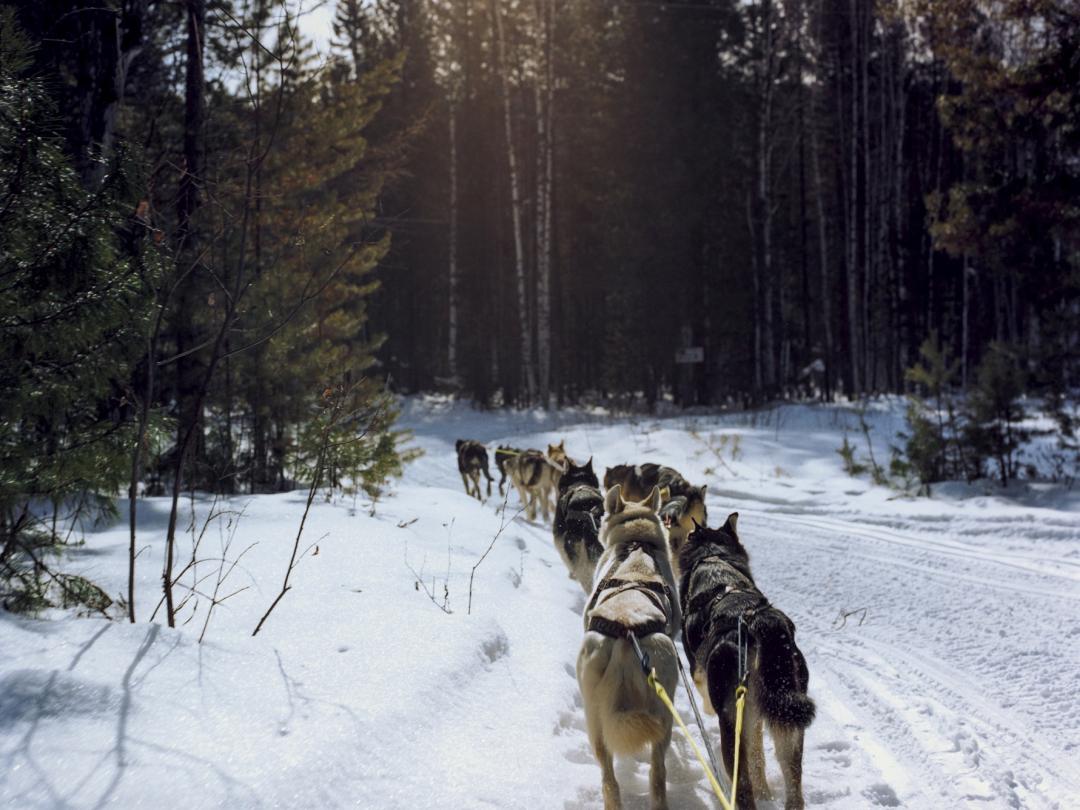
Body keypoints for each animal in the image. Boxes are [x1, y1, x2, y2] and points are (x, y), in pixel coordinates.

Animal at [578, 488, 678, 810]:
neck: (637, 548)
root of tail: (626, 632)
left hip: (597, 718)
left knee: (614, 776)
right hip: (660, 714)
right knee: (654, 775)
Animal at [678, 516, 812, 807]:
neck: (714, 559)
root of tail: (759, 621)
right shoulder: (755, 714)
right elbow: (758, 753)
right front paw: (765, 790)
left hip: (731, 728)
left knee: (742, 787)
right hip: (789, 726)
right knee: (793, 785)